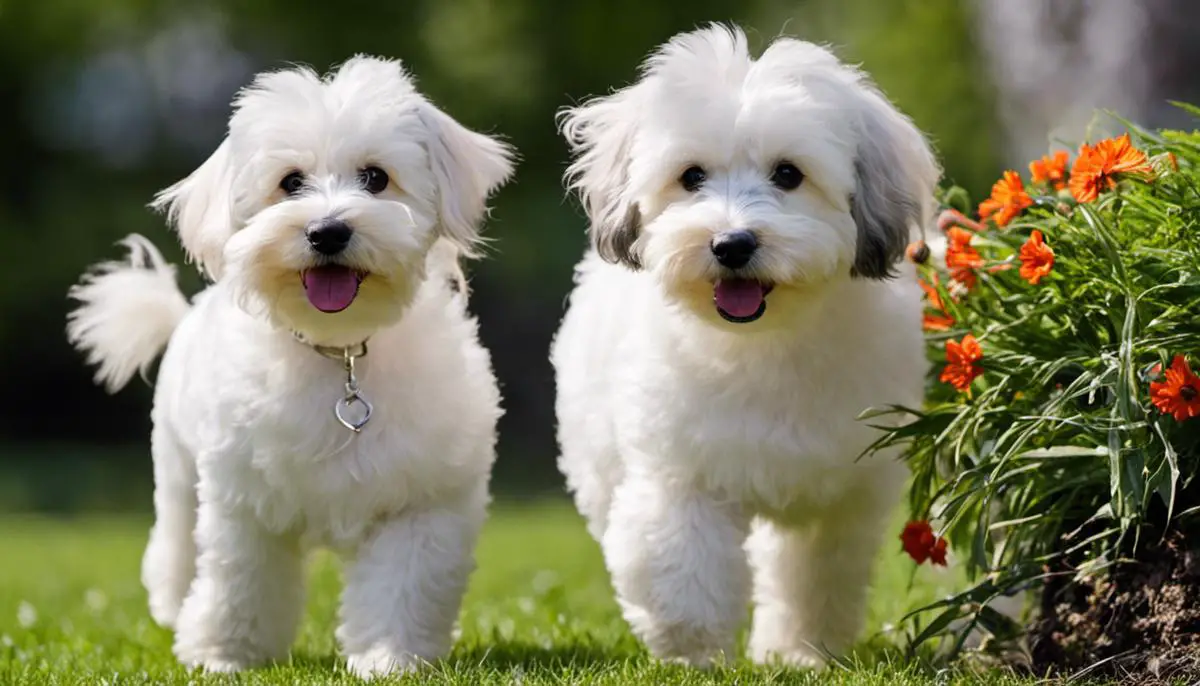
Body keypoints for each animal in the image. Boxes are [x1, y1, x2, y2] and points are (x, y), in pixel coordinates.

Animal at [65, 54, 513, 676]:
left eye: (376, 177)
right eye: (290, 183)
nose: (327, 231)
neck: (340, 351)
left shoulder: (421, 502)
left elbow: (402, 587)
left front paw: (389, 658)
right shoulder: (244, 503)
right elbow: (239, 584)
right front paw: (225, 656)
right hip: (177, 473)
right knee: (177, 548)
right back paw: (175, 606)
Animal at [549, 26, 936, 671]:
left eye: (788, 174)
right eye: (691, 177)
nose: (731, 243)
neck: (762, 342)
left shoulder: (842, 490)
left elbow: (816, 573)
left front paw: (804, 650)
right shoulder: (680, 474)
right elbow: (681, 564)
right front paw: (692, 652)